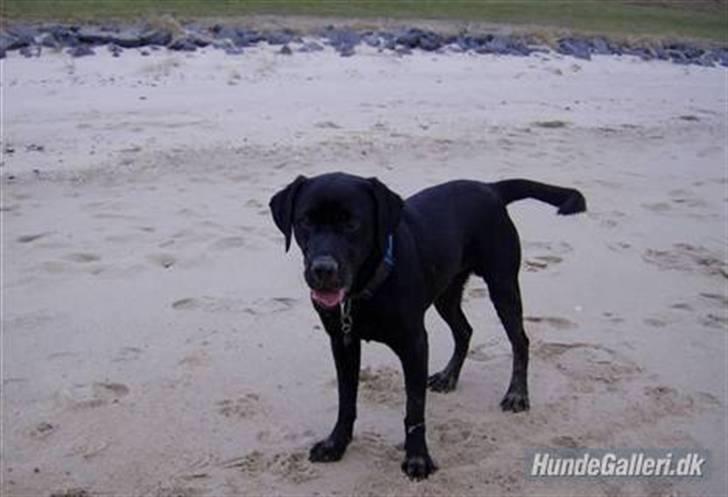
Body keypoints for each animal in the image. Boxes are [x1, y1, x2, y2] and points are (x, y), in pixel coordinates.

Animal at [268, 172, 584, 478]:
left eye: (352, 224)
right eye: (305, 221)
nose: (323, 270)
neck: (366, 289)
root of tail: (489, 187)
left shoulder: (414, 344)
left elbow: (414, 409)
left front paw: (417, 458)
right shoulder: (342, 342)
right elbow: (346, 401)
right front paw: (336, 444)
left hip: (502, 284)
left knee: (520, 341)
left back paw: (517, 394)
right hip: (446, 293)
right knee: (464, 330)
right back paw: (448, 376)